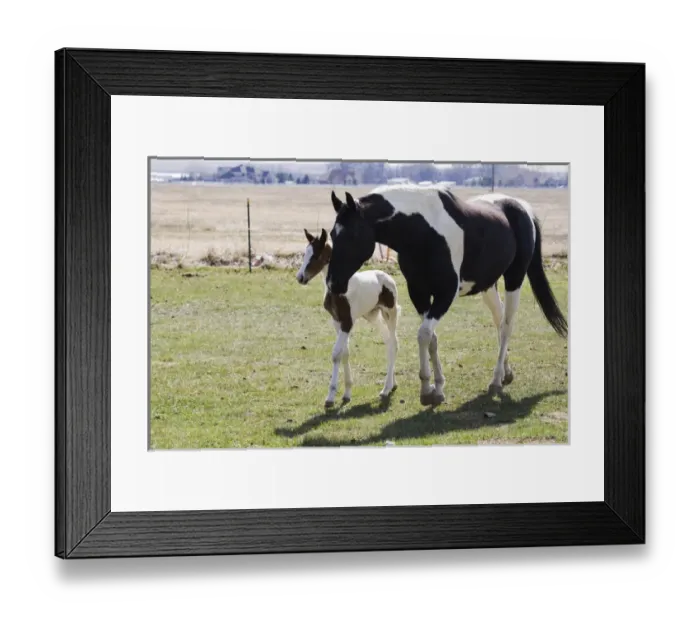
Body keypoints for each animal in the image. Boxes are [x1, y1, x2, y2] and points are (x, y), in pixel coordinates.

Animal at [296, 228, 401, 409]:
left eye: (316, 255)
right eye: (305, 254)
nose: (300, 277)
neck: (338, 289)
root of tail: (386, 276)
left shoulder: (347, 322)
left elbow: (336, 353)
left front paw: (330, 397)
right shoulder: (337, 322)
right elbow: (345, 352)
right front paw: (346, 394)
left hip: (390, 312)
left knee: (393, 343)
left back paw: (386, 389)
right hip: (372, 315)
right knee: (388, 341)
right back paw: (392, 384)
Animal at [324, 185, 568, 407]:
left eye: (353, 233)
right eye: (333, 234)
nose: (333, 283)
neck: (424, 233)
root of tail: (522, 207)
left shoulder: (445, 295)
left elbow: (423, 335)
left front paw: (426, 389)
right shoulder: (419, 294)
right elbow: (431, 338)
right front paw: (437, 388)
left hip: (514, 279)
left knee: (507, 326)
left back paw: (496, 380)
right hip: (489, 286)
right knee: (499, 322)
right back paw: (506, 373)